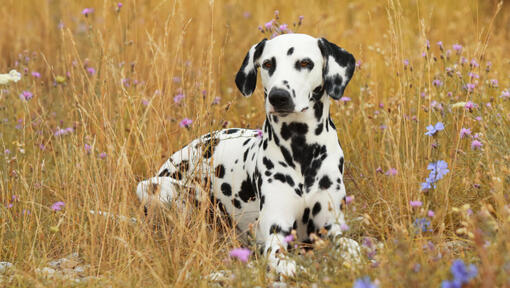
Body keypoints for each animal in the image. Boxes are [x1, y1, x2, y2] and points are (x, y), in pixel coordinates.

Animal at [135, 32, 358, 276]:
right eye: (268, 64)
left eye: (305, 63)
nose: (278, 96)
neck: (301, 150)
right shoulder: (275, 235)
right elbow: (286, 262)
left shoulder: (332, 225)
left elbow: (352, 246)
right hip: (156, 186)